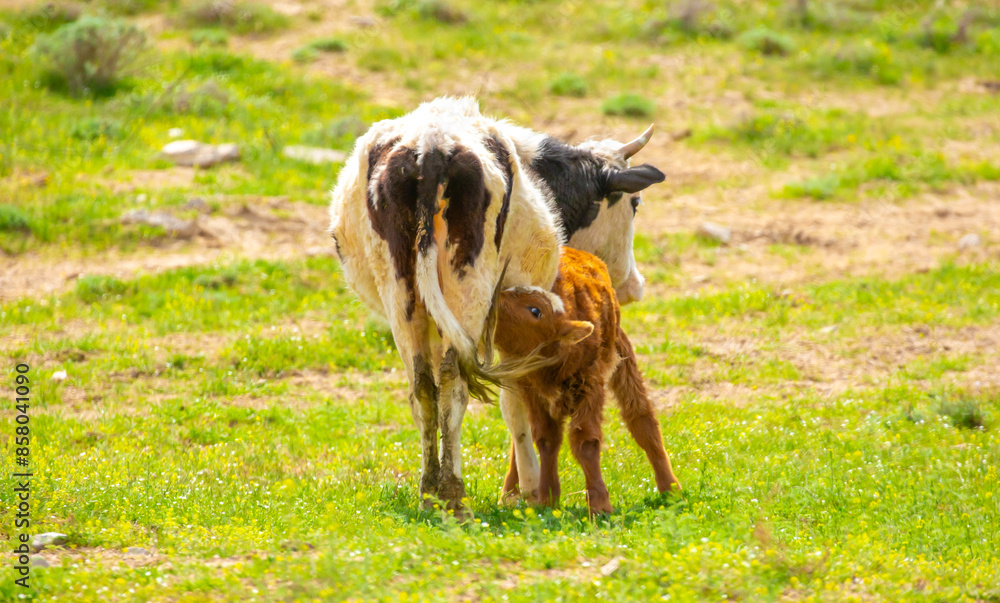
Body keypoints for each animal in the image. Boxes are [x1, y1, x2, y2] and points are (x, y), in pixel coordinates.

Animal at [328, 97, 663, 510]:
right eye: (635, 203)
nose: (635, 285)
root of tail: (430, 148)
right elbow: (515, 404)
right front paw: (530, 490)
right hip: (469, 293)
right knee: (454, 387)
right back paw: (454, 497)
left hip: (403, 300)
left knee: (423, 391)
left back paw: (430, 494)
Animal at [494, 247, 681, 515]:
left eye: (535, 310)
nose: (494, 296)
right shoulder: (533, 392)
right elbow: (546, 438)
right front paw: (548, 499)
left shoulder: (590, 385)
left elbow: (586, 441)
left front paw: (600, 504)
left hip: (621, 355)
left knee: (642, 420)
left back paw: (671, 488)